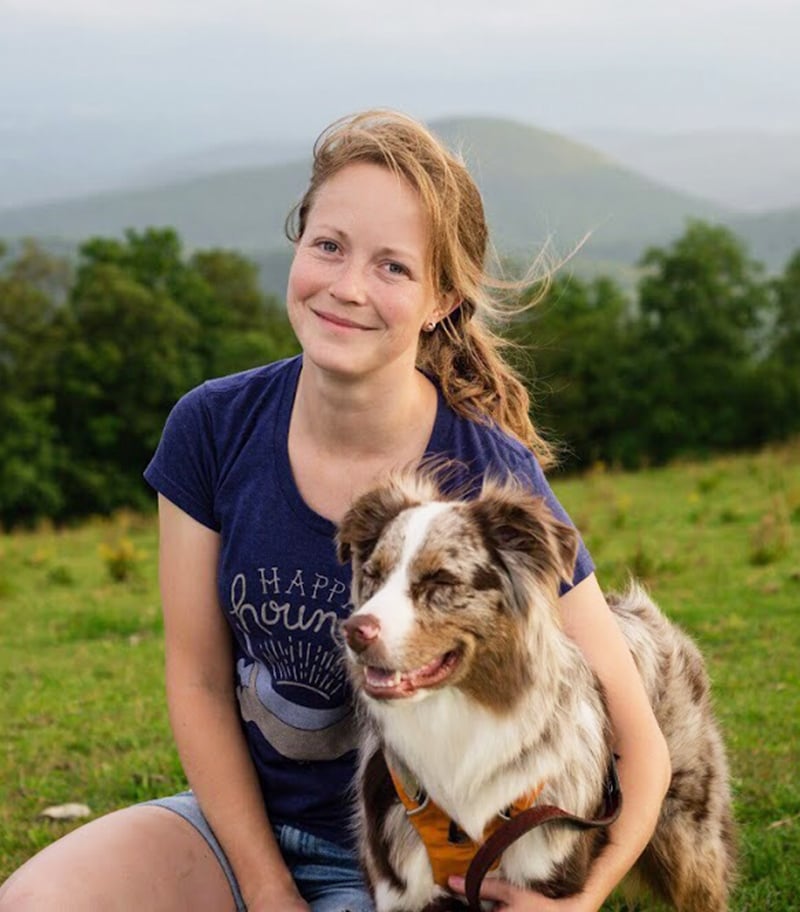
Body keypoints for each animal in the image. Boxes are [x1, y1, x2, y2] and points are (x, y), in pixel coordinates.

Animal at [334, 474, 736, 908]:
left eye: (441, 579)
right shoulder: (403, 886)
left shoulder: (546, 875)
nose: (353, 632)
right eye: (373, 575)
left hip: (689, 843)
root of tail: (642, 610)